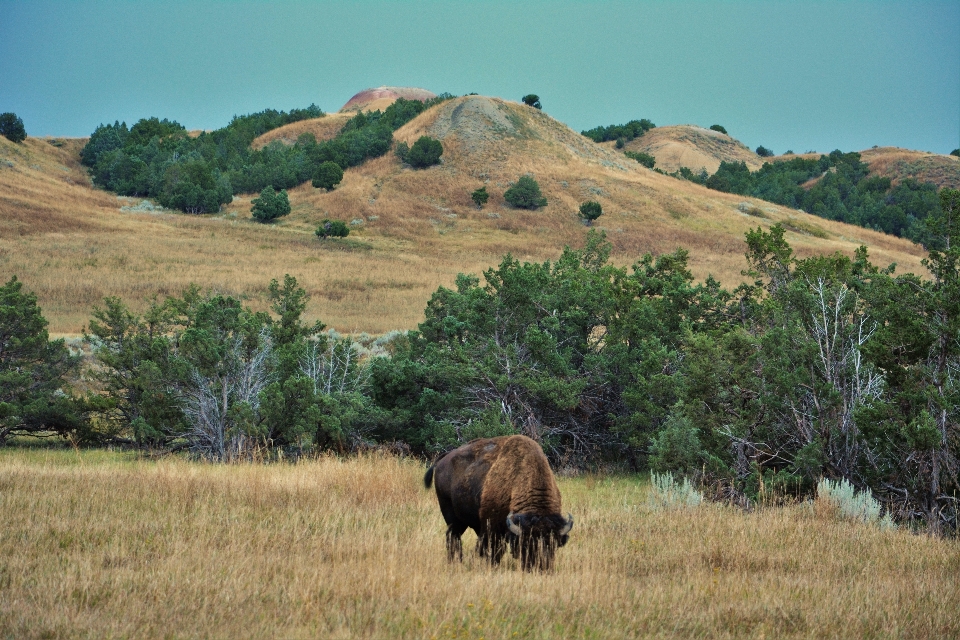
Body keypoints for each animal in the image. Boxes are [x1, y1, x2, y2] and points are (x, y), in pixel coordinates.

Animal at [424, 436, 572, 568]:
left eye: (554, 544)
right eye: (526, 544)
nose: (540, 567)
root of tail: (444, 458)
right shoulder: (492, 528)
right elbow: (493, 549)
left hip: (462, 521)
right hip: (451, 515)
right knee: (453, 537)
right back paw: (455, 562)